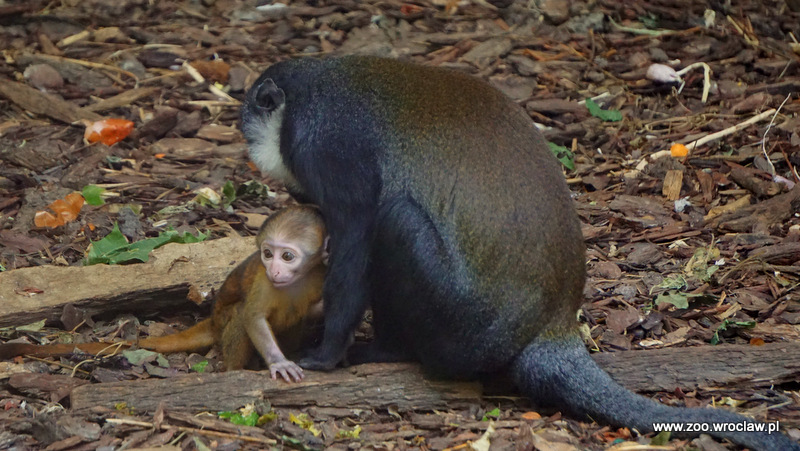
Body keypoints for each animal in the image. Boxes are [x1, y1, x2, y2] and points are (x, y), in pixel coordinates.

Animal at [0, 207, 328, 384]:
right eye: (268, 254)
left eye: (287, 256)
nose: (275, 269)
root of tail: (211, 320)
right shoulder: (262, 280)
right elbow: (252, 316)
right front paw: (278, 362)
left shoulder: (319, 276)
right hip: (223, 321)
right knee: (236, 314)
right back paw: (236, 370)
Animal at [244, 57, 800, 451]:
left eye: (249, 118)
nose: (247, 143)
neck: (305, 93)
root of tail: (552, 327)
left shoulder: (325, 148)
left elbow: (357, 235)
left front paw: (323, 356)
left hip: (464, 330)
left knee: (396, 218)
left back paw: (389, 351)